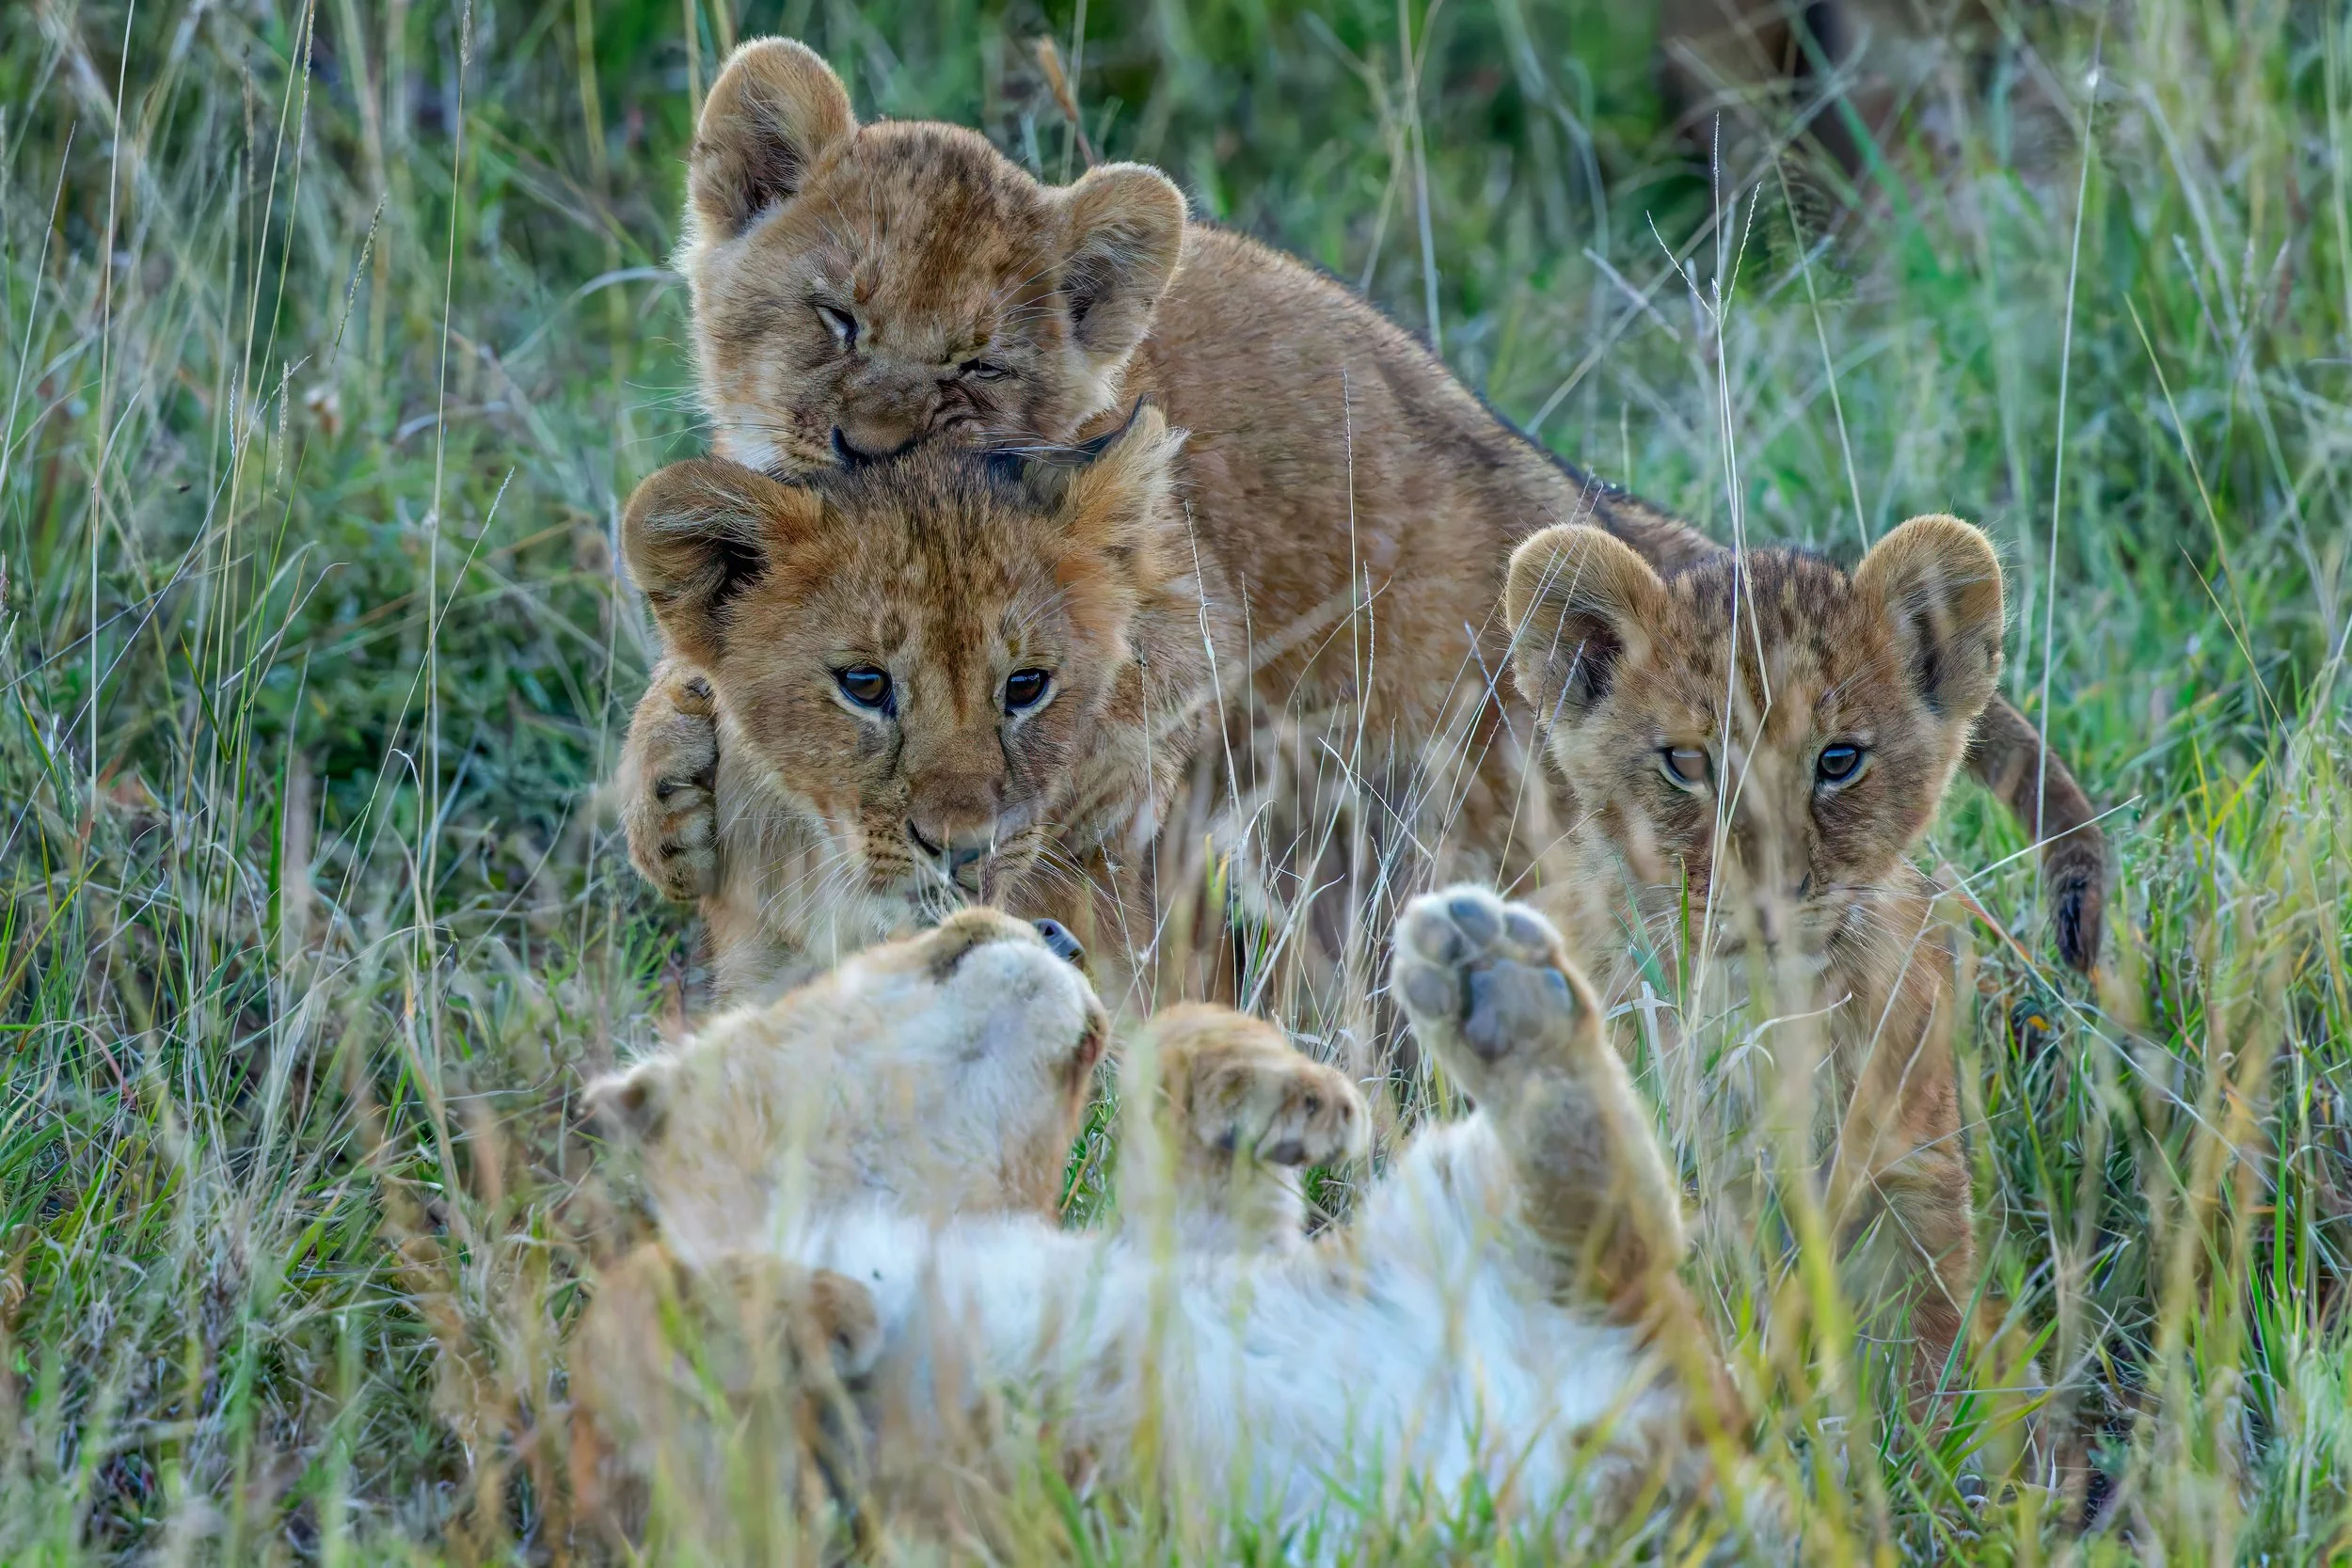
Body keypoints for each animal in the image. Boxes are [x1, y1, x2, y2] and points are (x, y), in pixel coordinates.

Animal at [573, 891, 1759, 1556]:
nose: (1056, 928)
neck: (909, 1207)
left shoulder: (1213, 1256)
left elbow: (1178, 1029)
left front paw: (1287, 1093)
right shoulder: (679, 1513)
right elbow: (631, 1304)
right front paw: (815, 1304)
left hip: (1457, 1207)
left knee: (1620, 1212)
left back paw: (1495, 983)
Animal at [615, 35, 2105, 1009]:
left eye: (976, 366)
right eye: (834, 317)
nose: (865, 447)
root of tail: (1576, 501)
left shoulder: (1182, 617)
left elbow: (1083, 729)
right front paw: (670, 789)